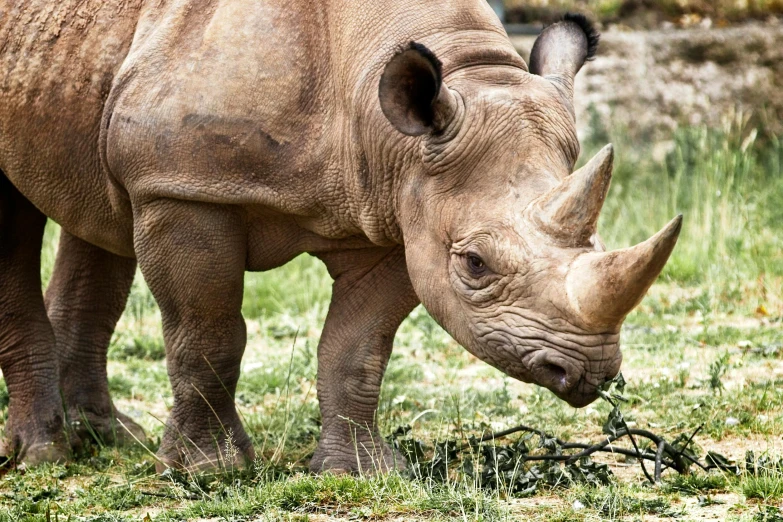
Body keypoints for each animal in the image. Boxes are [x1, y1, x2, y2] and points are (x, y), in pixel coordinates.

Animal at [0, 1, 680, 472]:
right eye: (475, 264)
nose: (588, 372)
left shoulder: (400, 214)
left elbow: (358, 346)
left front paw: (361, 471)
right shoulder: (182, 188)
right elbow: (208, 334)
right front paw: (208, 472)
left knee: (97, 210)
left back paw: (107, 440)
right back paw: (44, 457)